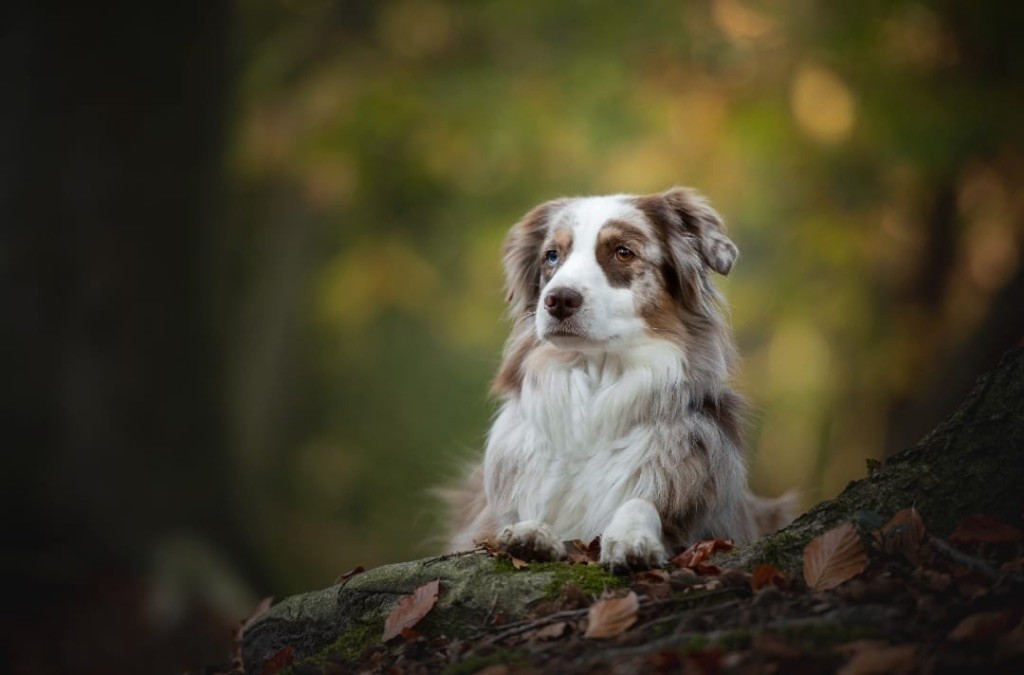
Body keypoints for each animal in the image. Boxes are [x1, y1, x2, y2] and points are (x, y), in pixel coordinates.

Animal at [446, 186, 790, 569]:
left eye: (623, 252)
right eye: (552, 255)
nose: (558, 300)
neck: (597, 383)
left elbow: (640, 503)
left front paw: (631, 538)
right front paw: (530, 533)